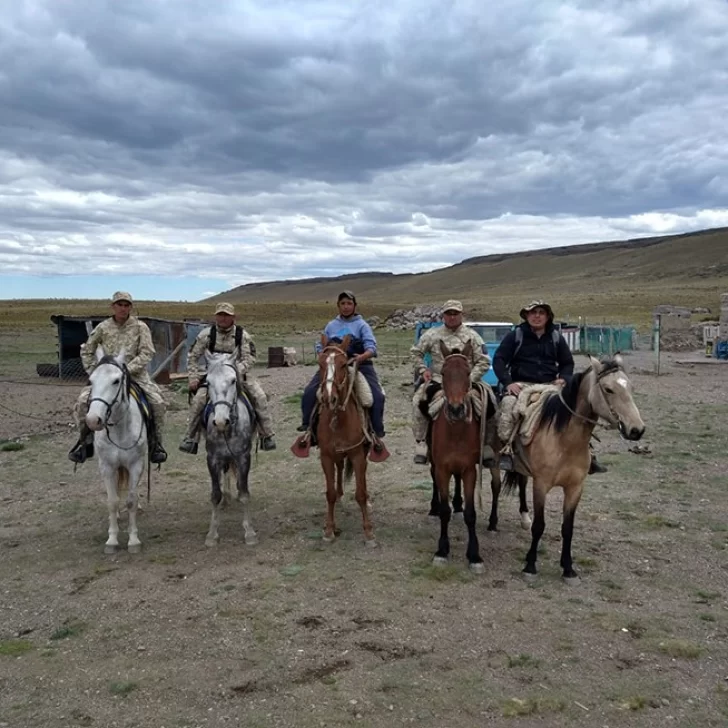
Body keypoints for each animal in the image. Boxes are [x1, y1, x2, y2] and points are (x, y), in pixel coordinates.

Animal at [85, 350, 148, 556]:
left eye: (116, 380)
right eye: (91, 380)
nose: (93, 420)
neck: (120, 429)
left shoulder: (136, 465)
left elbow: (131, 500)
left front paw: (134, 540)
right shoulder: (107, 467)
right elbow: (112, 501)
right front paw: (112, 540)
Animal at [202, 352, 256, 544]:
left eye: (233, 380)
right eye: (208, 382)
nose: (219, 421)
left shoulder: (244, 457)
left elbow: (245, 492)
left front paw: (249, 533)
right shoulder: (212, 459)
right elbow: (214, 494)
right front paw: (212, 534)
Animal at [504, 356, 644, 584]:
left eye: (630, 387)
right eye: (608, 389)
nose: (637, 430)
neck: (565, 441)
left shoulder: (575, 488)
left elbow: (567, 528)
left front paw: (568, 568)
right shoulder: (541, 485)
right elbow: (539, 525)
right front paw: (530, 565)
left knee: (522, 482)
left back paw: (524, 517)